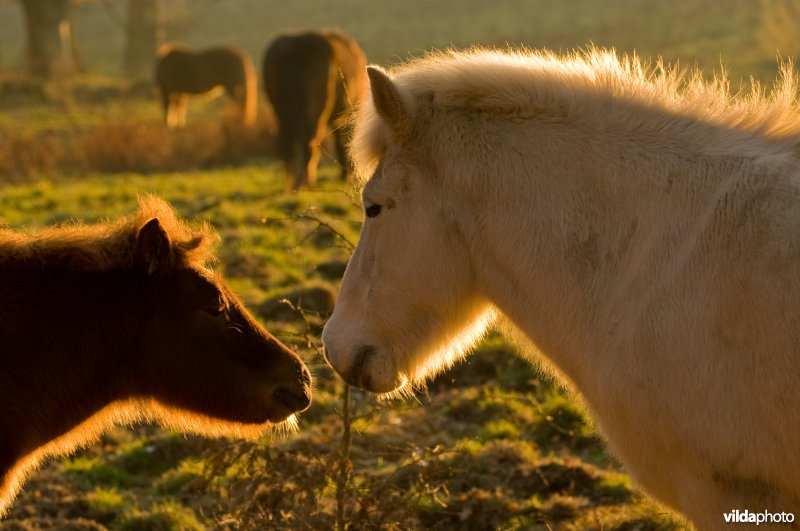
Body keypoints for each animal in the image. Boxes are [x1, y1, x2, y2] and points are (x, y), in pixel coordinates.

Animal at [264, 29, 368, 190]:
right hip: (315, 113)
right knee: (311, 143)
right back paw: (306, 183)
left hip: (281, 113)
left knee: (288, 146)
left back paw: (292, 184)